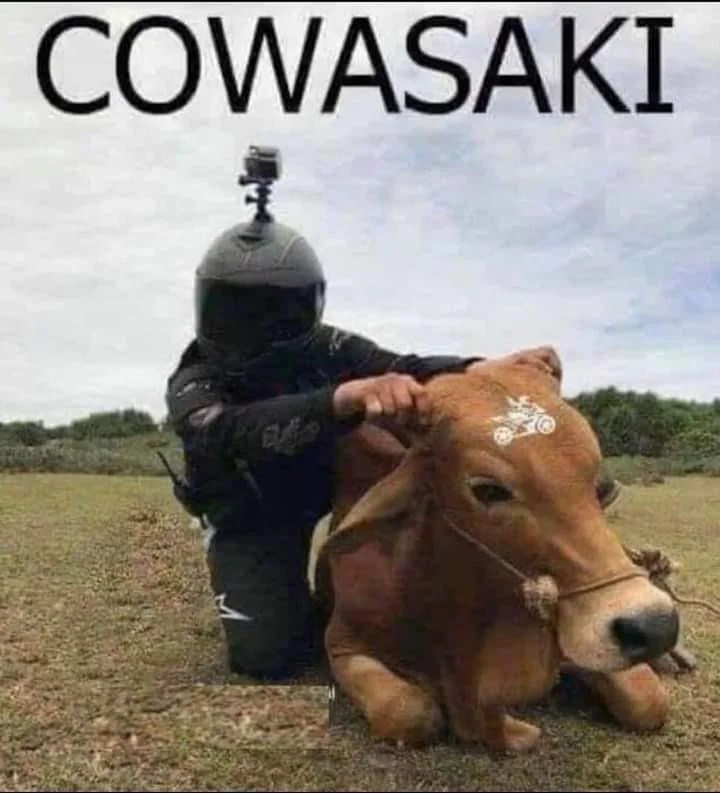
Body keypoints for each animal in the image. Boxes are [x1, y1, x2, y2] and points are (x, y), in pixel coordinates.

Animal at [311, 357, 680, 753]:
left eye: (594, 478)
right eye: (487, 489)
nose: (654, 626)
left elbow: (648, 701)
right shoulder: (341, 644)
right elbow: (409, 712)